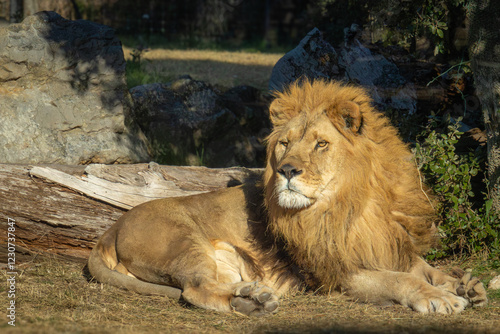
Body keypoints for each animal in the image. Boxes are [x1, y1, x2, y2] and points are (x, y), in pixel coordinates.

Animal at [87, 79, 488, 314]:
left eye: (321, 144)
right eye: (284, 144)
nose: (287, 171)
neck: (354, 203)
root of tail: (110, 230)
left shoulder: (388, 245)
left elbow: (426, 268)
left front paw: (466, 285)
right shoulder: (334, 273)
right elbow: (400, 280)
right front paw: (440, 297)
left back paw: (254, 295)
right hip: (182, 241)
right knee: (194, 291)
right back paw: (249, 304)